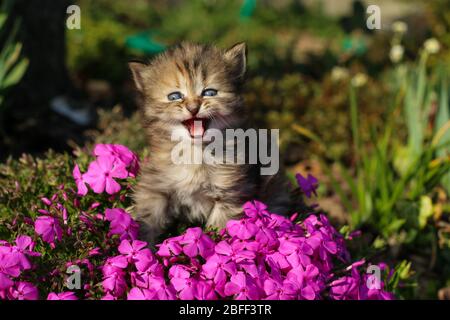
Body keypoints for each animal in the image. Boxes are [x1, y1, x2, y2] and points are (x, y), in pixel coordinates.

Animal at [128, 42, 294, 242]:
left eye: (209, 92)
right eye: (175, 97)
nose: (193, 108)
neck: (195, 152)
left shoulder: (229, 195)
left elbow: (219, 228)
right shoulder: (155, 188)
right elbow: (148, 222)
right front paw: (144, 247)